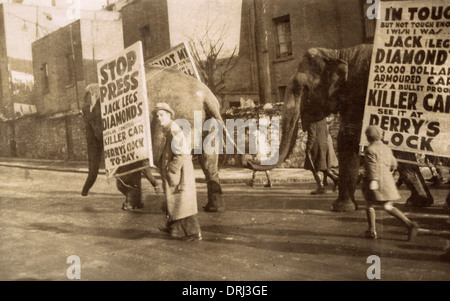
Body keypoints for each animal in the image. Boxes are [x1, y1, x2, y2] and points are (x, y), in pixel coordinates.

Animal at [80, 65, 229, 211]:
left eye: (87, 118)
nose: (84, 194)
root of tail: (206, 96)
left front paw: (128, 206)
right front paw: (135, 205)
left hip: (179, 122)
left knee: (168, 160)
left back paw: (169, 206)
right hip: (209, 123)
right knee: (208, 161)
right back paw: (211, 208)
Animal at [250, 42, 432, 211]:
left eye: (302, 88)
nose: (248, 160)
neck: (339, 53)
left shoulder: (360, 93)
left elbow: (349, 137)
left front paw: (341, 207)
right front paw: (418, 202)